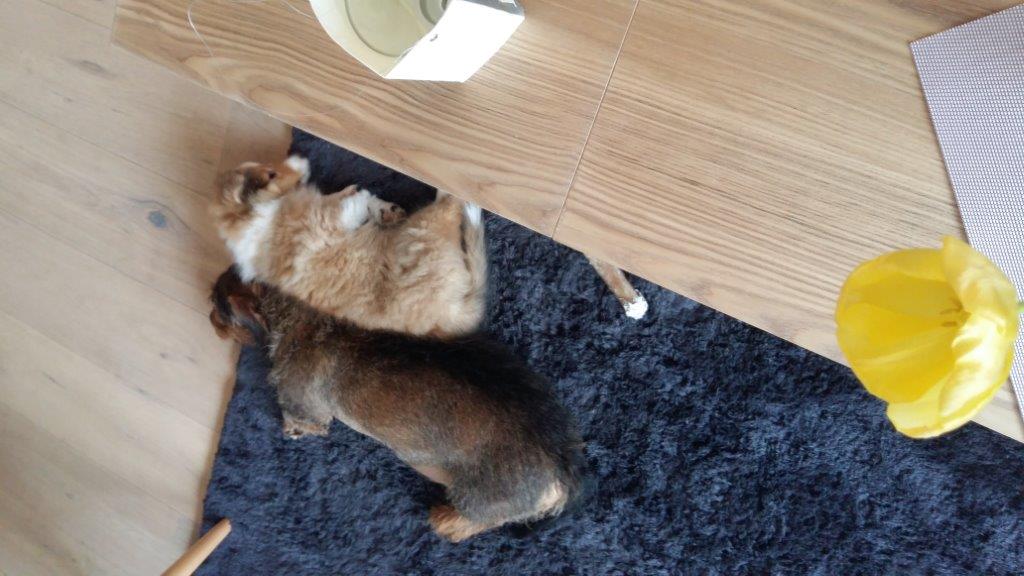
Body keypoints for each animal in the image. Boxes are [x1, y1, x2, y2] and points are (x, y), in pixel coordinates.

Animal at [209, 267, 590, 542]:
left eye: (218, 307)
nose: (208, 312)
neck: (304, 312)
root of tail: (561, 464)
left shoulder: (304, 405)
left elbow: (302, 420)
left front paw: (293, 431)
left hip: (480, 499)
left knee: (475, 521)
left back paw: (447, 521)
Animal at [211, 157, 487, 338]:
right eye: (271, 175)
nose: (302, 159)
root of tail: (453, 311)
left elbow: (349, 199)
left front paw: (379, 207)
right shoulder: (322, 222)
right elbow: (349, 205)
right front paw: (362, 196)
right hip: (423, 228)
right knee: (449, 208)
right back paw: (460, 198)